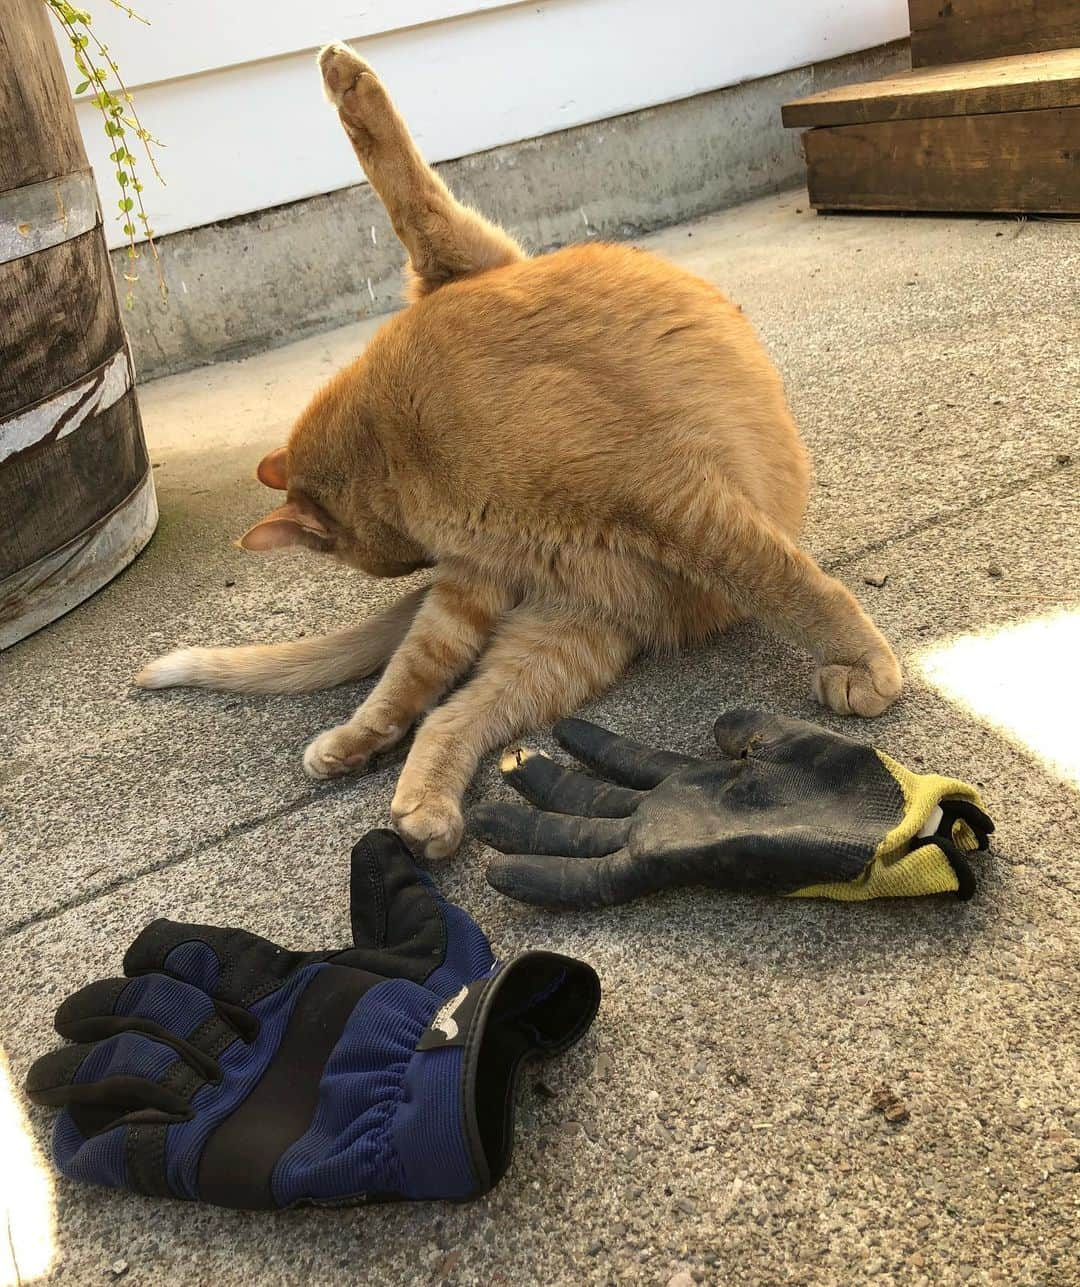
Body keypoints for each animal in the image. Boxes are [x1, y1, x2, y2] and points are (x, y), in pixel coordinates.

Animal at [141, 45, 906, 859]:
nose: (421, 562)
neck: (397, 440)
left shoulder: (653, 483)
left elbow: (791, 585)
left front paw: (862, 663)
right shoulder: (479, 572)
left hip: (557, 624)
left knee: (448, 702)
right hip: (557, 632)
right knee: (444, 706)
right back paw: (390, 777)